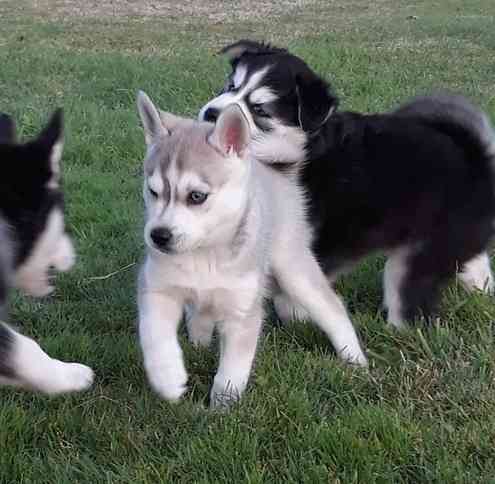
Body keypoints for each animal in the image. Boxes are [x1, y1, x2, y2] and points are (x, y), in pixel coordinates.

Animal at [136, 90, 368, 404]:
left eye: (197, 196)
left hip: (293, 269)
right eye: (153, 191)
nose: (158, 236)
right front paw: (168, 377)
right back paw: (198, 341)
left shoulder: (243, 310)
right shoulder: (157, 287)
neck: (204, 254)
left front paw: (222, 405)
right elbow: (155, 335)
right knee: (202, 313)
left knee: (332, 308)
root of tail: (273, 171)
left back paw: (354, 358)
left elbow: (232, 368)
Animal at [201, 40, 495, 328]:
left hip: (416, 258)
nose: (211, 113)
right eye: (230, 86)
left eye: (260, 109)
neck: (293, 151)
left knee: (409, 303)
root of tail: (475, 157)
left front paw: (297, 314)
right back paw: (481, 288)